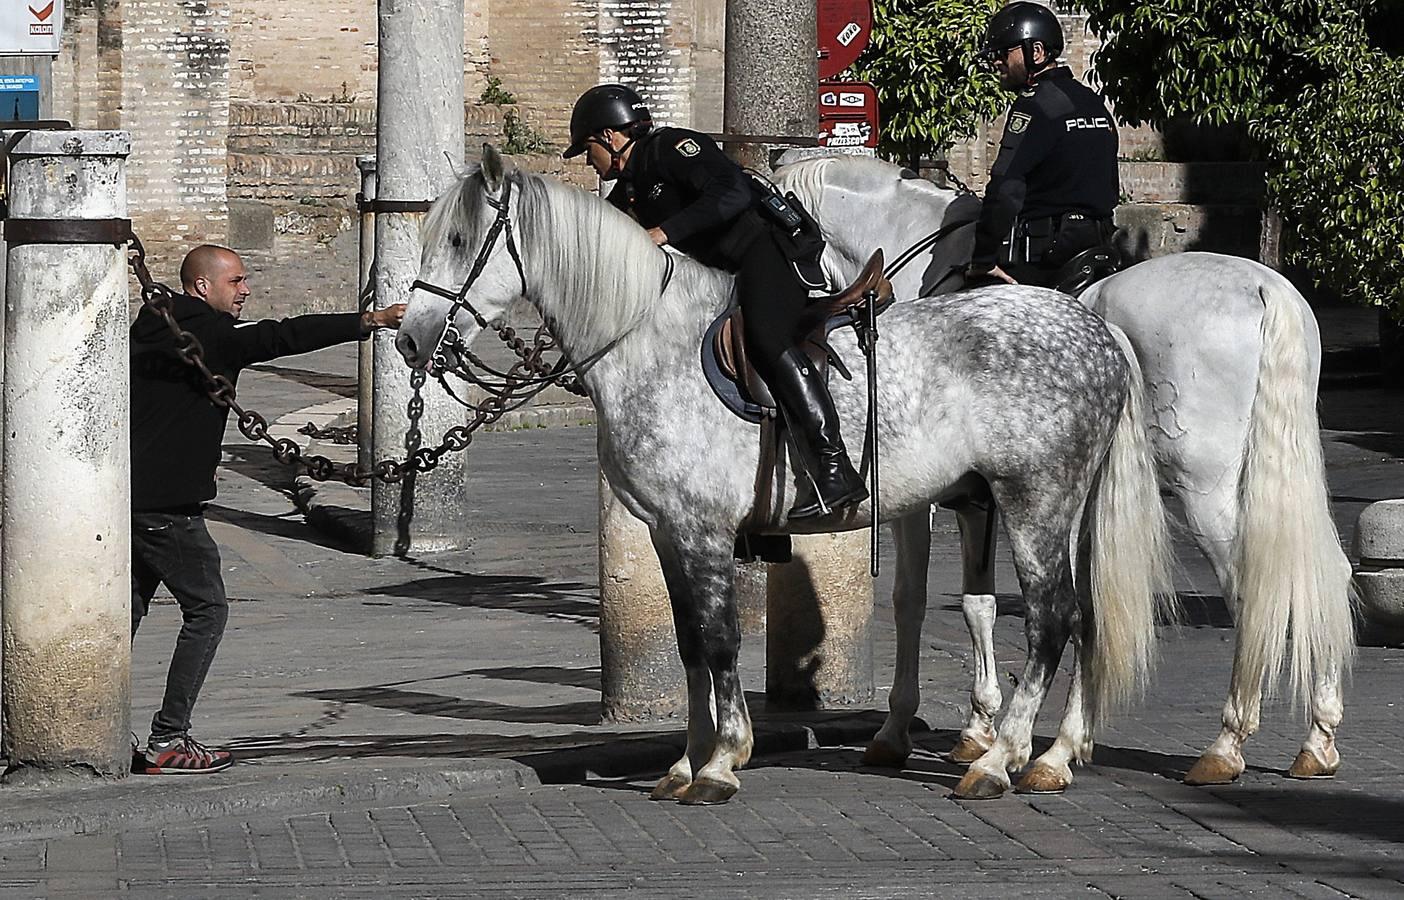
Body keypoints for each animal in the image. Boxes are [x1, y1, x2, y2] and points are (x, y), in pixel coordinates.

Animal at [395, 147, 1173, 797]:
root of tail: (1096, 326)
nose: (408, 338)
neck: (647, 339)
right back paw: (1055, 755)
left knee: (1052, 619)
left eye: (459, 240)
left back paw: (999, 759)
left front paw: (721, 761)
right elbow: (689, 645)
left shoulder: (703, 531)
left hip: (1033, 501)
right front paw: (687, 760)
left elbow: (719, 641)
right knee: (1086, 615)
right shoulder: (668, 533)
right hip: (1066, 508)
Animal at [775, 154, 1353, 786]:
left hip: (1203, 488)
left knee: (1252, 593)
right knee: (1324, 575)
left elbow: (911, 599)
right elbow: (983, 603)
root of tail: (1265, 286)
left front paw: (902, 730)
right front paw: (983, 730)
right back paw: (1317, 737)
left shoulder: (921, 499)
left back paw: (1226, 744)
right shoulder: (985, 500)